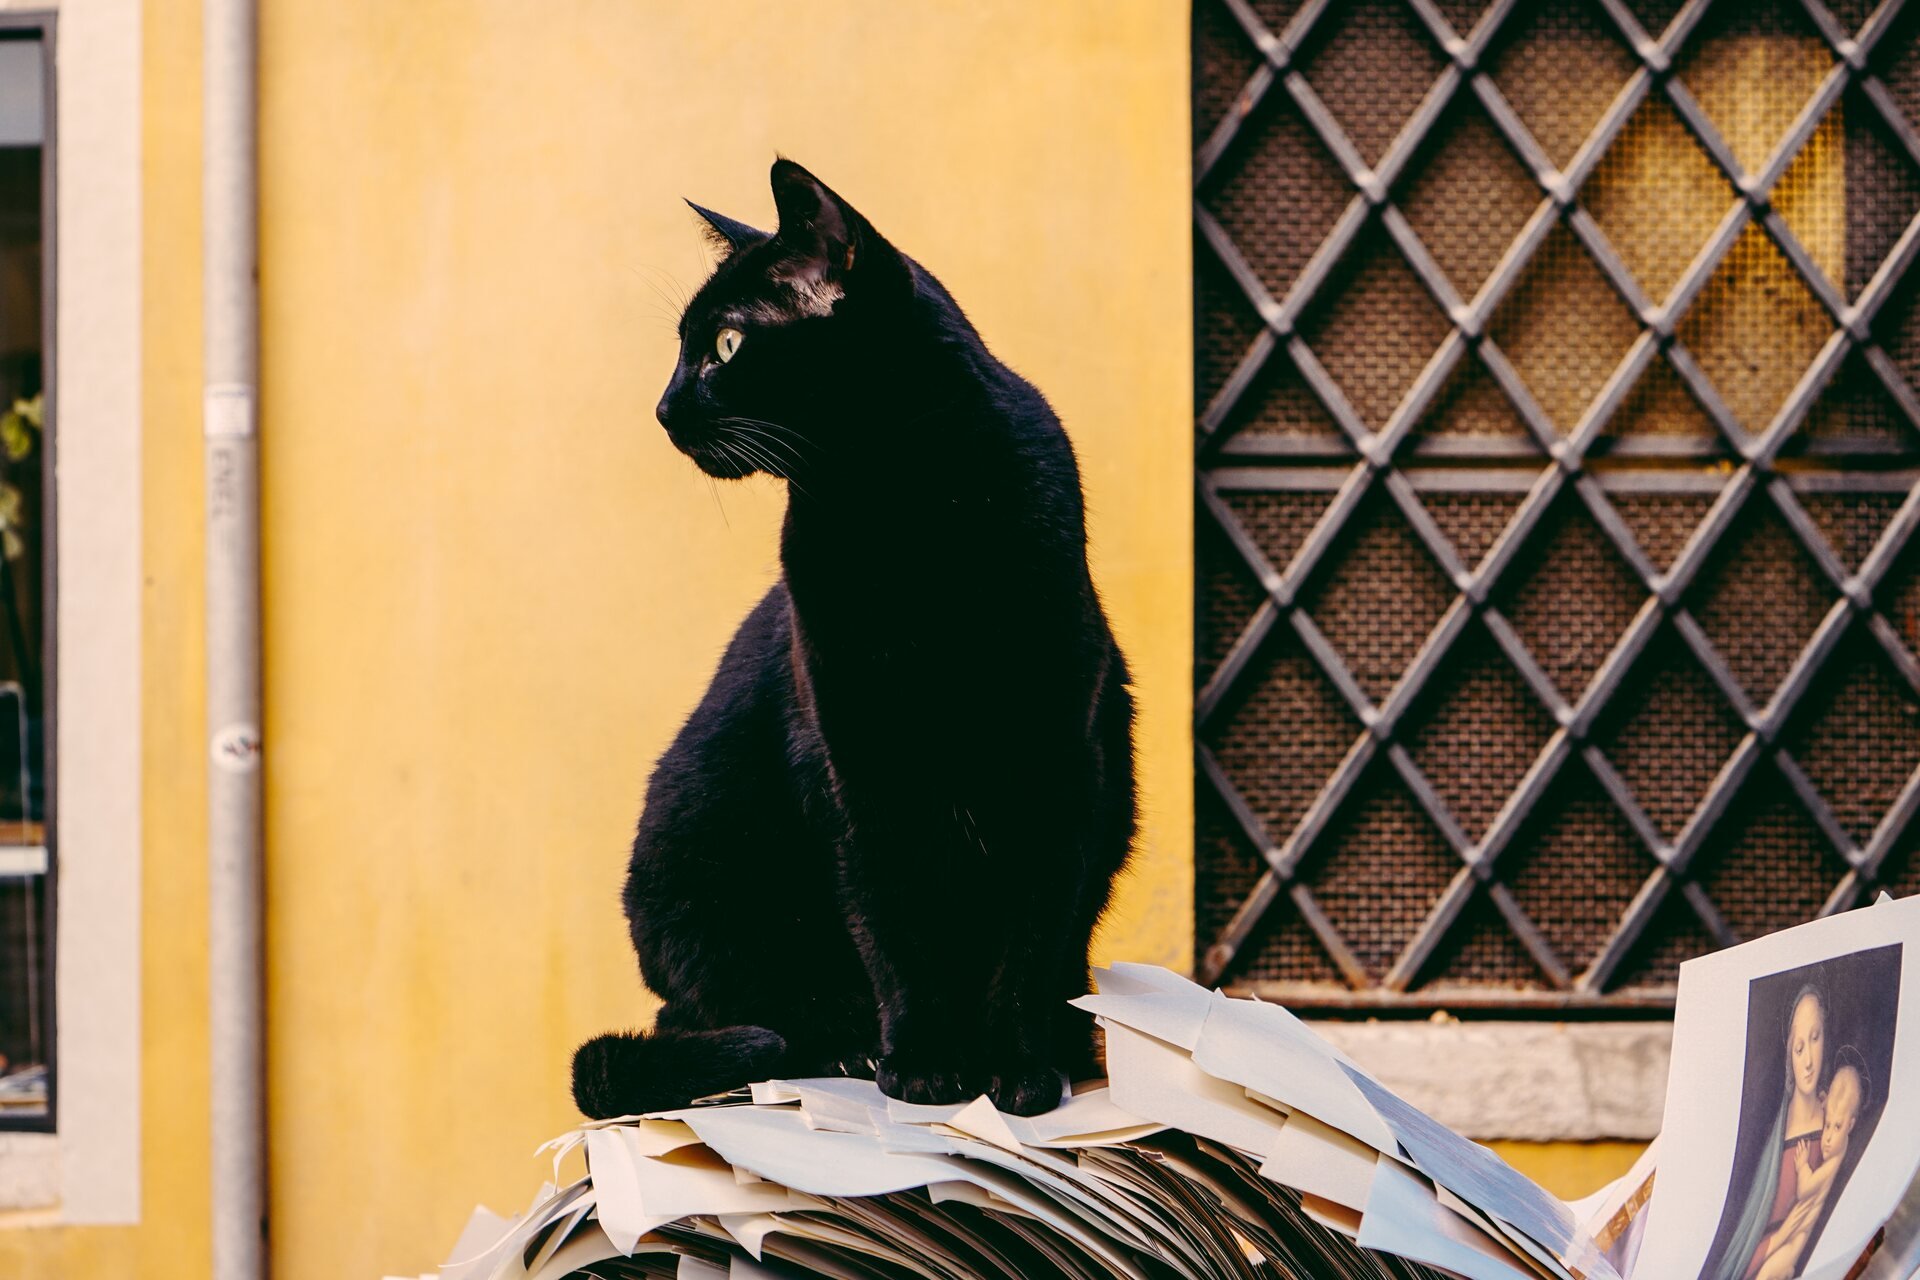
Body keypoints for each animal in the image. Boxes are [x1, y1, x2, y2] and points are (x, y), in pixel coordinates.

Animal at [568, 163, 1136, 1120]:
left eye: (724, 345)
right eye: (684, 348)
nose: (663, 407)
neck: (900, 505)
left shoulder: (1058, 759)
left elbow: (1027, 938)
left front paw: (1018, 1071)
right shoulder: (856, 759)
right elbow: (890, 920)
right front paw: (921, 1069)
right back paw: (845, 1047)